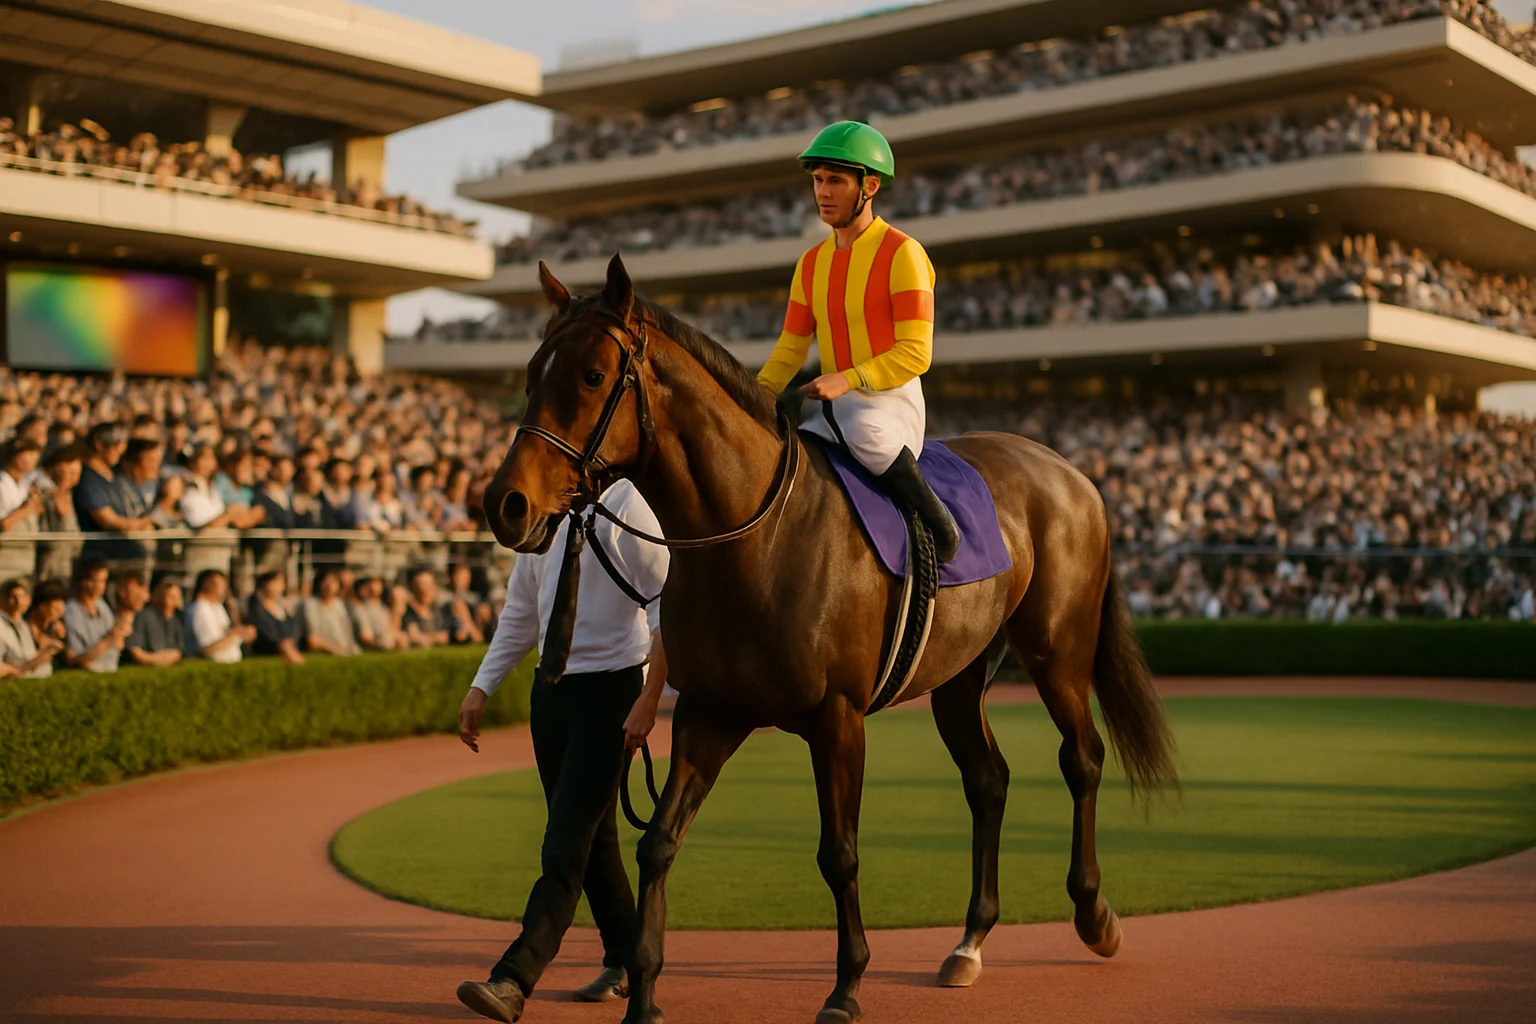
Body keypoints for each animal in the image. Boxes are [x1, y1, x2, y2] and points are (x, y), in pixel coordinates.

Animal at [483, 254, 1178, 1024]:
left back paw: (1093, 915)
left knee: (1081, 759)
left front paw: (846, 987)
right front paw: (643, 996)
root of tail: (1074, 472)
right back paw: (969, 942)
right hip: (960, 675)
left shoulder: (837, 718)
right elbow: (659, 842)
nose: (504, 503)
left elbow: (838, 853)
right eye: (529, 375)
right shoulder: (708, 713)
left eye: (592, 376)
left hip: (1058, 652)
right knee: (988, 779)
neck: (754, 536)